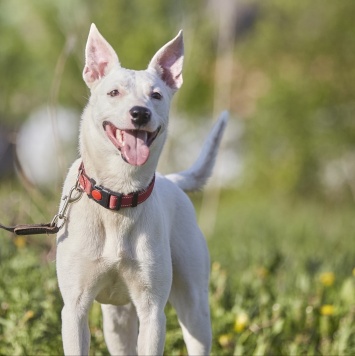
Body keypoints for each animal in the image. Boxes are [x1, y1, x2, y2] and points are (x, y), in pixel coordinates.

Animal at [55, 23, 228, 354]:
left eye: (156, 95)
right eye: (113, 92)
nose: (140, 113)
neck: (118, 195)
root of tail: (172, 180)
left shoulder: (152, 310)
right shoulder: (74, 310)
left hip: (194, 307)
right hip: (116, 320)